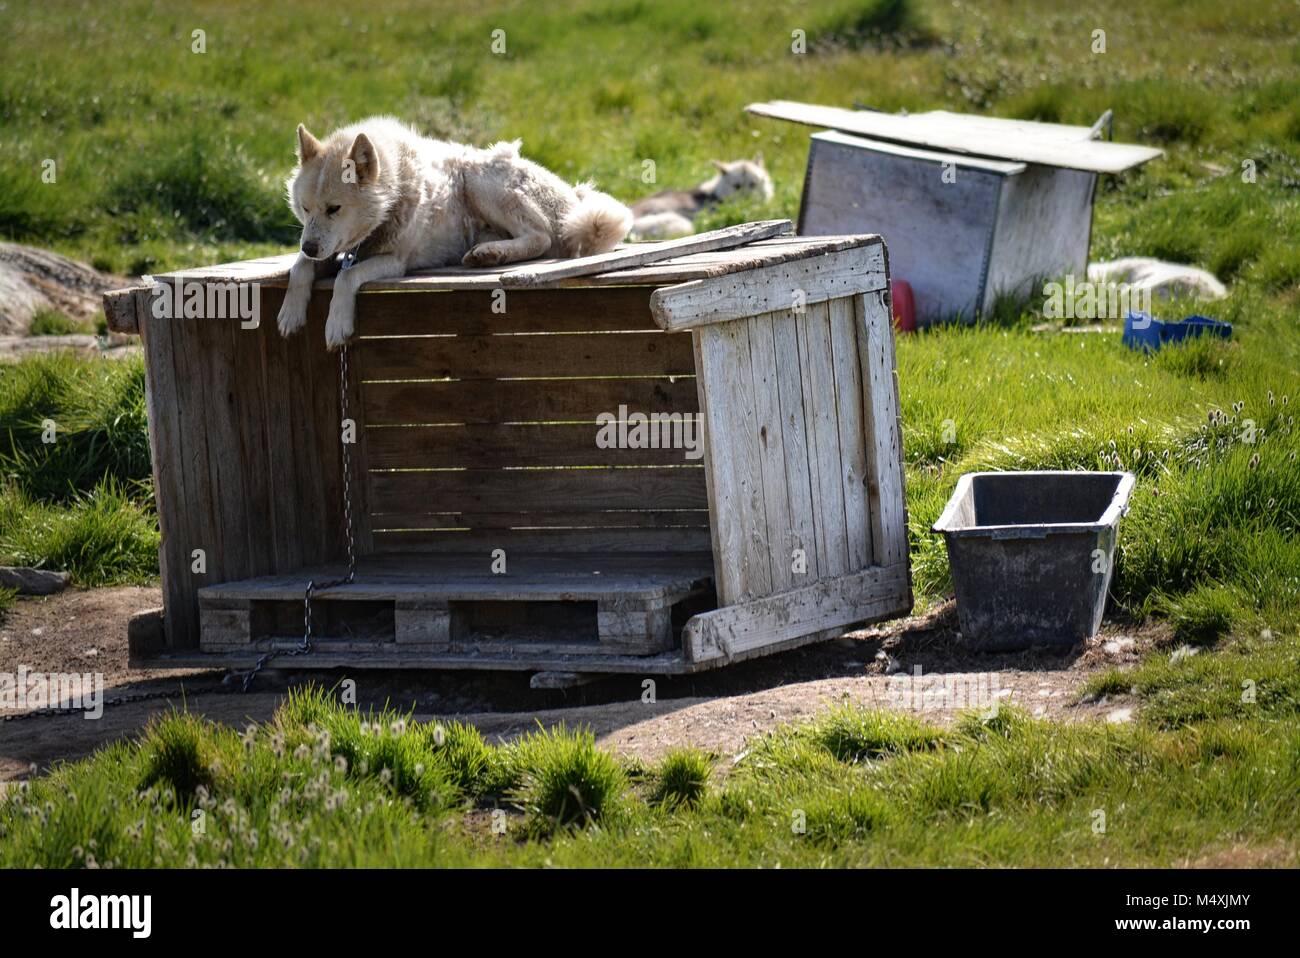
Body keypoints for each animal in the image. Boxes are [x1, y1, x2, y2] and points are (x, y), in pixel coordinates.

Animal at [279, 116, 634, 348]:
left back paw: (491, 255)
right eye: (305, 208)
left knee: (541, 236)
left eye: (334, 209)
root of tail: (572, 195)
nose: (309, 246)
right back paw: (487, 251)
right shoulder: (334, 250)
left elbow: (346, 277)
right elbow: (300, 268)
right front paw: (290, 314)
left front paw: (336, 325)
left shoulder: (395, 261)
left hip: (478, 180)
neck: (392, 194)